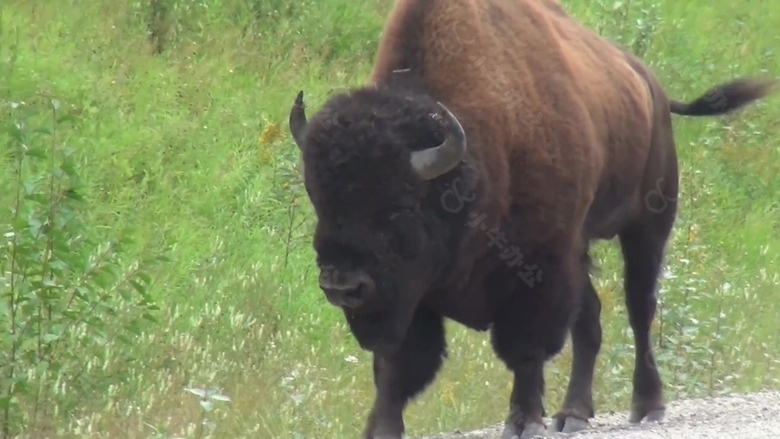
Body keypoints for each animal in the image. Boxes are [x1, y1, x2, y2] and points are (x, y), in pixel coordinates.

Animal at [284, 0, 772, 439]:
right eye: (320, 200)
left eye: (399, 206)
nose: (341, 284)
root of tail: (652, 87)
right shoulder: (410, 296)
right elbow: (397, 362)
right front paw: (381, 428)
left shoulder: (537, 269)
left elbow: (525, 349)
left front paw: (524, 421)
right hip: (583, 249)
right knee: (591, 319)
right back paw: (573, 414)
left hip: (648, 224)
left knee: (639, 310)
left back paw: (647, 405)